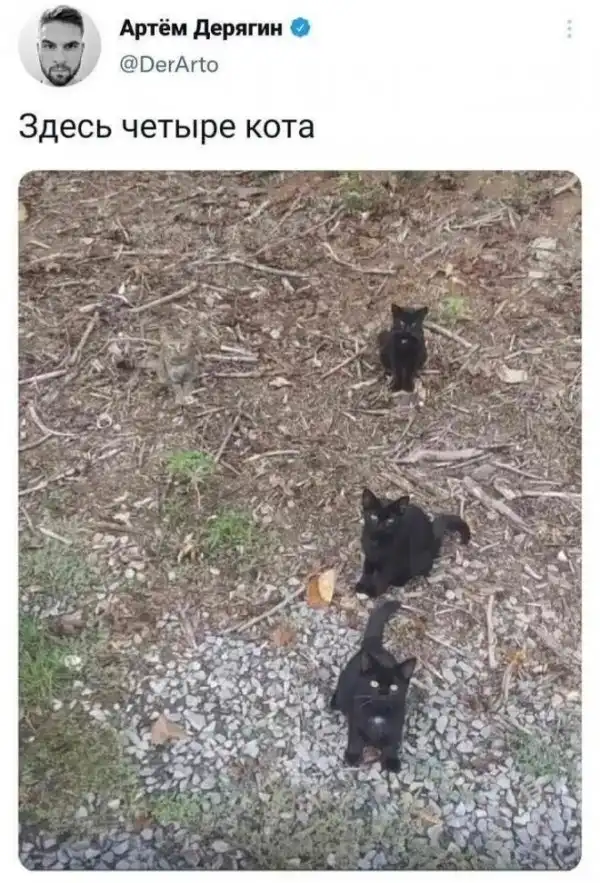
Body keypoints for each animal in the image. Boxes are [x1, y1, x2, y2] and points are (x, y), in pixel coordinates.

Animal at [330, 600, 416, 771]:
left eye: (394, 687)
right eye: (374, 683)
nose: (383, 693)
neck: (378, 714)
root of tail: (374, 646)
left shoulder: (396, 724)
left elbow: (391, 744)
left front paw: (391, 761)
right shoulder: (356, 720)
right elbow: (355, 740)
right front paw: (352, 756)